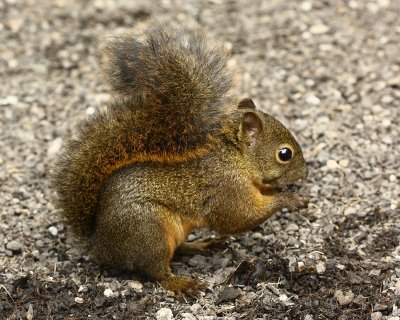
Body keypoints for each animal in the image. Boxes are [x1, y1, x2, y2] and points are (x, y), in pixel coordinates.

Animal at [52, 21, 310, 294]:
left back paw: (201, 245)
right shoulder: (227, 188)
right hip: (149, 232)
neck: (235, 157)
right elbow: (238, 217)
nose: (305, 173)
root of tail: (100, 244)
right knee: (156, 271)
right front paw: (289, 199)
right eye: (285, 154)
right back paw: (182, 283)